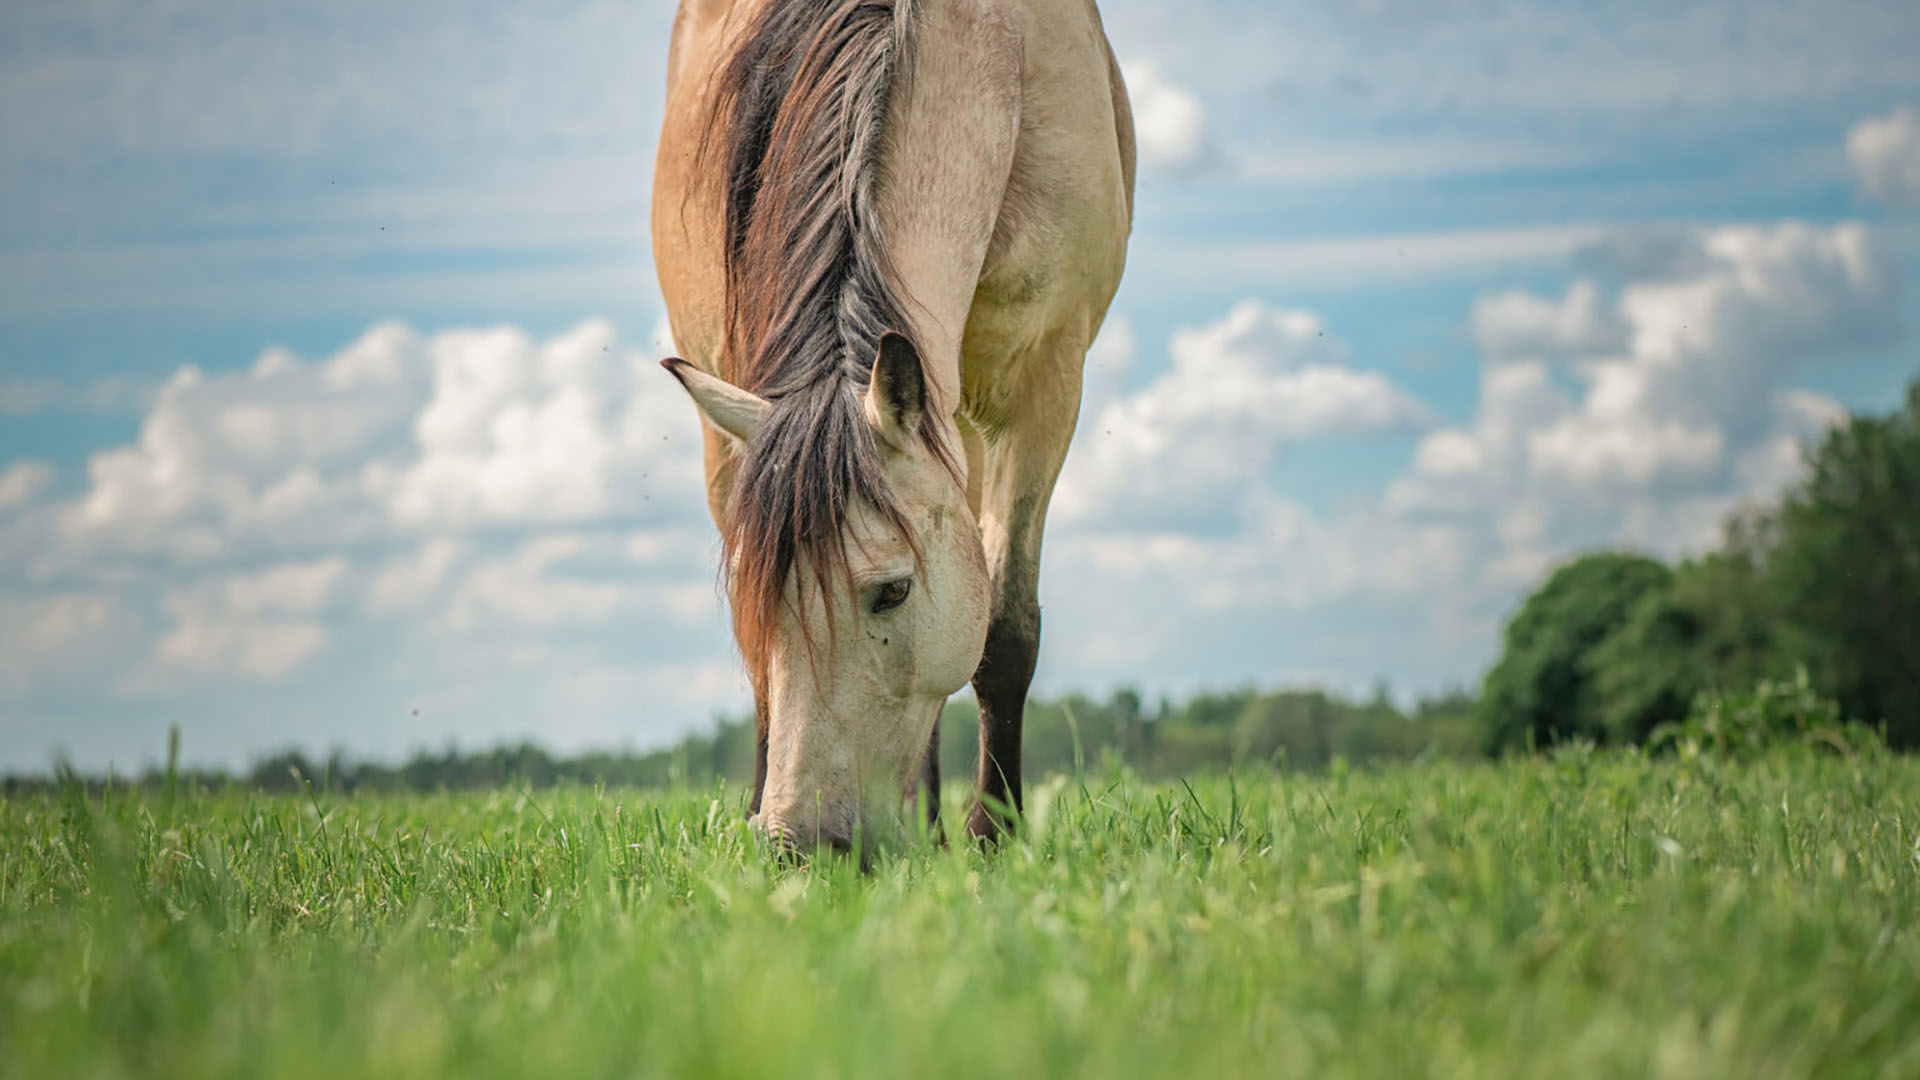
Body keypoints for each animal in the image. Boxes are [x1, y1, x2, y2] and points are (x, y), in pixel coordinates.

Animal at [660, 0, 1136, 845]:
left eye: (891, 592)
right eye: (756, 596)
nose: (801, 844)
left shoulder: (1045, 385)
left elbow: (1005, 630)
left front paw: (993, 836)